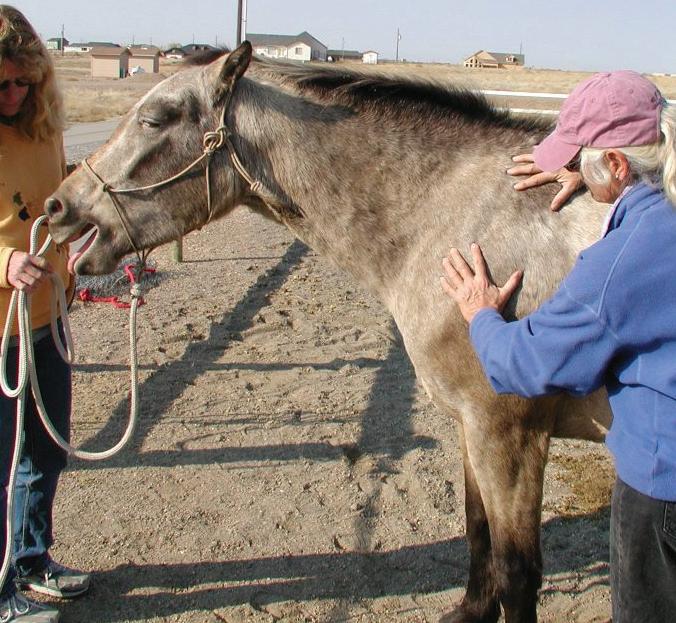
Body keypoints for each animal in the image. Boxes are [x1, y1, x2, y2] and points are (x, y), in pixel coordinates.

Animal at [46, 43, 612, 623]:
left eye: (155, 118)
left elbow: (517, 571)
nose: (59, 205)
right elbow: (478, 532)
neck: (461, 223)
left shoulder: (508, 435)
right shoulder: (470, 426)